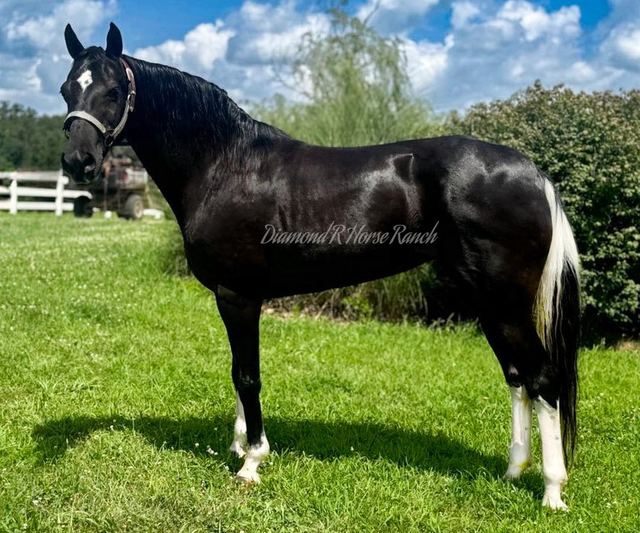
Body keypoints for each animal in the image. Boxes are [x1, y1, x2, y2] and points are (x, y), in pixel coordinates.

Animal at [60, 23, 580, 510]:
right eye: (67, 89)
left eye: (112, 91)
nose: (76, 162)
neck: (224, 165)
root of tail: (534, 173)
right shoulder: (232, 298)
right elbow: (236, 370)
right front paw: (238, 445)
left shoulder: (239, 296)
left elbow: (248, 375)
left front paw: (251, 461)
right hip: (489, 301)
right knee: (517, 378)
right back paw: (513, 471)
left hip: (507, 302)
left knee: (543, 378)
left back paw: (552, 491)